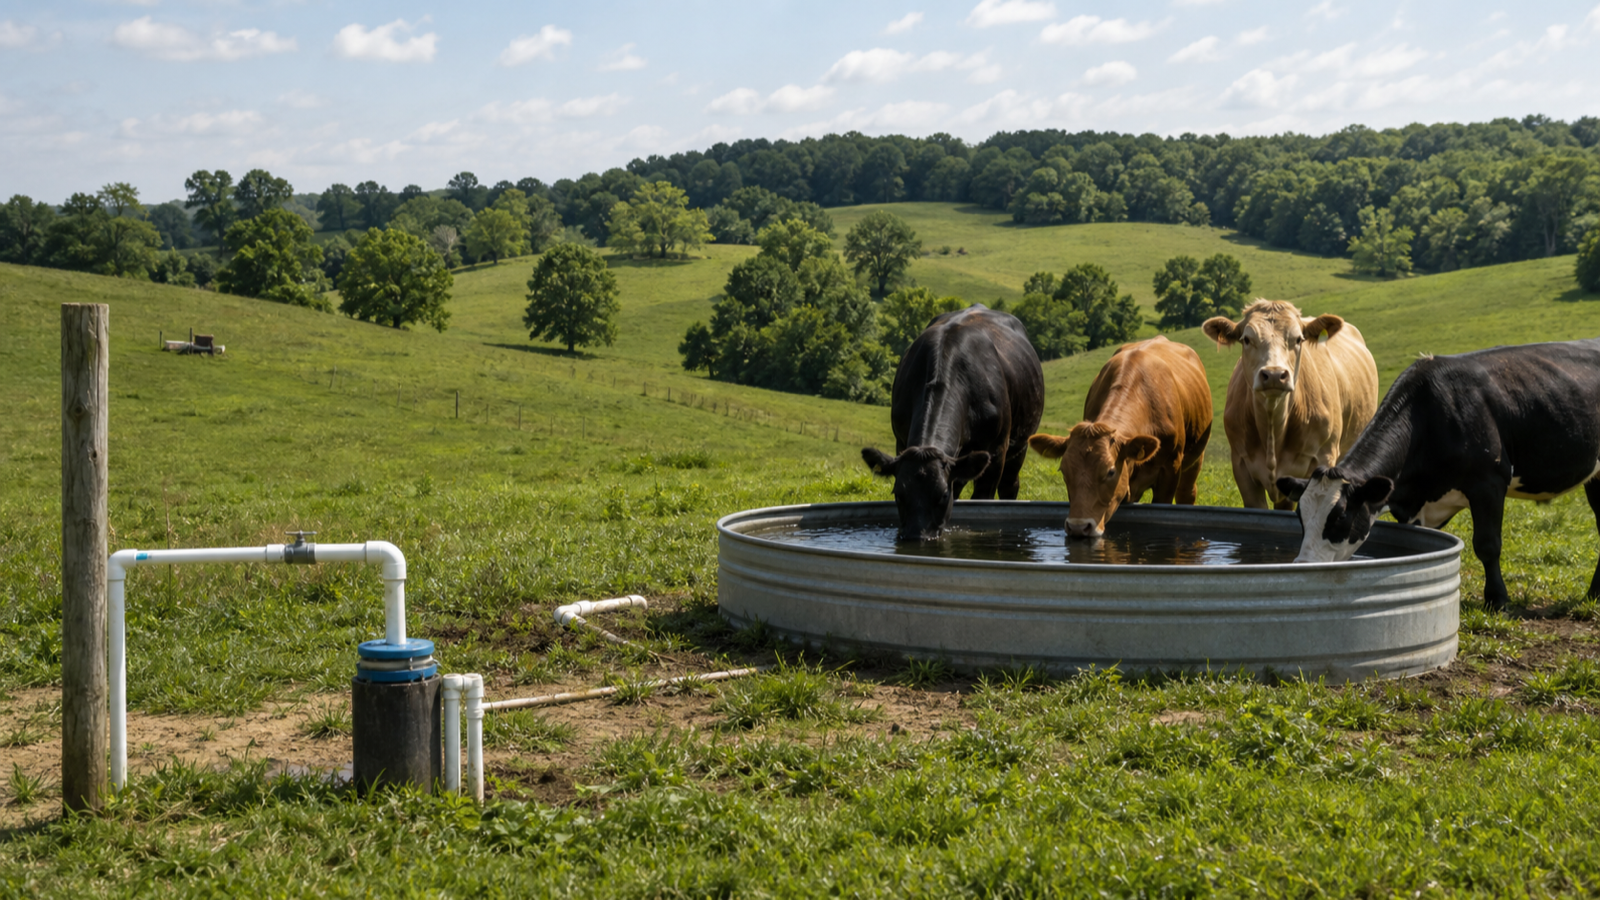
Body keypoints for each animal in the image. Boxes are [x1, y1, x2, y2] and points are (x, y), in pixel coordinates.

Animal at [862, 304, 1045, 542]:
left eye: (942, 495)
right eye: (898, 493)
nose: (916, 536)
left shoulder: (996, 451)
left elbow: (982, 498)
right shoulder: (901, 441)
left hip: (1019, 447)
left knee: (1009, 486)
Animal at [1027, 336, 1212, 538]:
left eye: (1110, 472)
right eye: (1063, 470)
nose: (1078, 527)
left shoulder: (1170, 470)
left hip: (1195, 461)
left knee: (1187, 493)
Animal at [1278, 338, 1600, 611]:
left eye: (1340, 516)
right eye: (1300, 516)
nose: (1304, 565)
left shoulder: (1488, 483)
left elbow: (1487, 545)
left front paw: (1497, 600)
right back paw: (1593, 595)